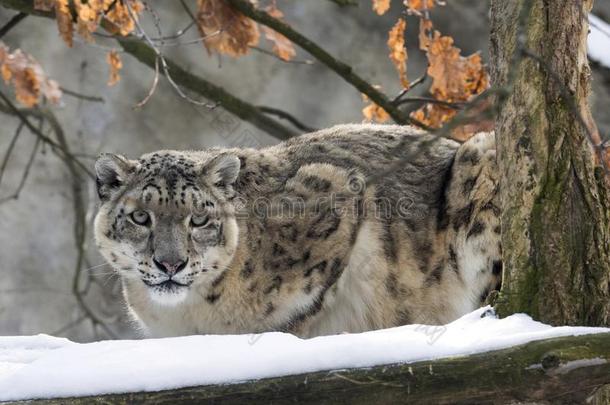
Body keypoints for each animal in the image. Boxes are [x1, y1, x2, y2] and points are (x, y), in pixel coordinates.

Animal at [94, 124, 498, 338]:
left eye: (199, 219)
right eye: (141, 217)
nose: (170, 264)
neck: (186, 314)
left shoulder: (336, 191)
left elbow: (300, 308)